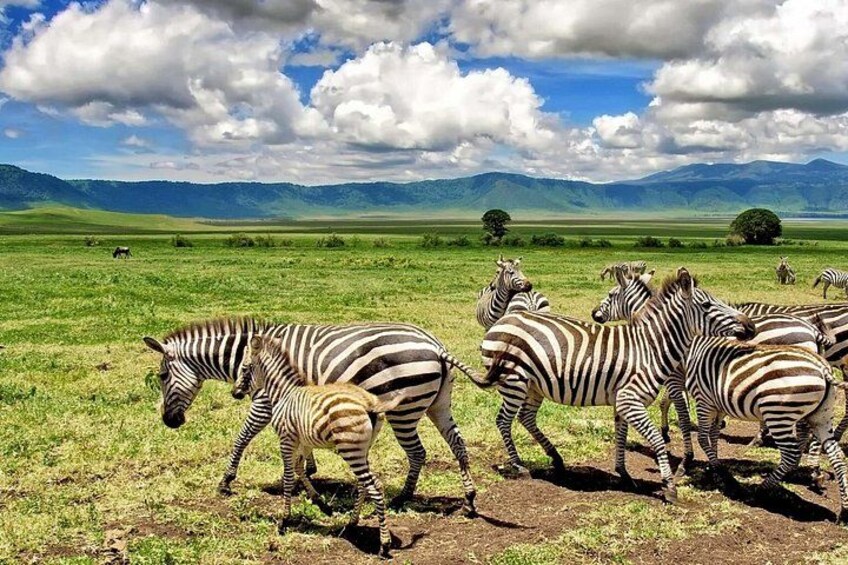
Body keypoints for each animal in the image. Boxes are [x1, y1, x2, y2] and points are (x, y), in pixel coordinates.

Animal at [142, 317, 494, 513]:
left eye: (161, 376)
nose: (169, 421)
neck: (250, 355)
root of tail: (435, 346)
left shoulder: (264, 401)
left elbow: (242, 438)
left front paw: (226, 481)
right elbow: (301, 443)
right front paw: (309, 470)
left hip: (404, 410)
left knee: (418, 452)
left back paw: (403, 498)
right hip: (438, 404)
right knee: (457, 444)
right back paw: (469, 499)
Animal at [232, 335, 403, 558]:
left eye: (244, 368)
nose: (234, 393)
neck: (284, 393)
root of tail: (370, 403)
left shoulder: (286, 439)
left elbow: (289, 478)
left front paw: (284, 521)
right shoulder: (303, 441)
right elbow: (300, 469)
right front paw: (322, 504)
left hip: (351, 450)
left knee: (375, 487)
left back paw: (384, 545)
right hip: (361, 450)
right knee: (365, 484)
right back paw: (352, 523)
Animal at [480, 268, 755, 503]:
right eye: (708, 305)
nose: (751, 326)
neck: (650, 348)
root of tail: (503, 320)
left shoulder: (623, 401)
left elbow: (621, 436)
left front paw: (623, 473)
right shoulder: (630, 399)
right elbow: (657, 439)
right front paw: (669, 485)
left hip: (534, 385)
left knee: (525, 417)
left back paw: (556, 458)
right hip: (514, 382)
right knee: (503, 420)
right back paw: (518, 465)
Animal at [684, 337, 848, 522]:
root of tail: (822, 366)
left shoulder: (703, 401)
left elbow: (703, 437)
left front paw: (720, 472)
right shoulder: (718, 405)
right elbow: (713, 435)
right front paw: (715, 467)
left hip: (779, 414)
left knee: (791, 455)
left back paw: (760, 490)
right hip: (822, 417)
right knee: (837, 455)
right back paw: (844, 510)